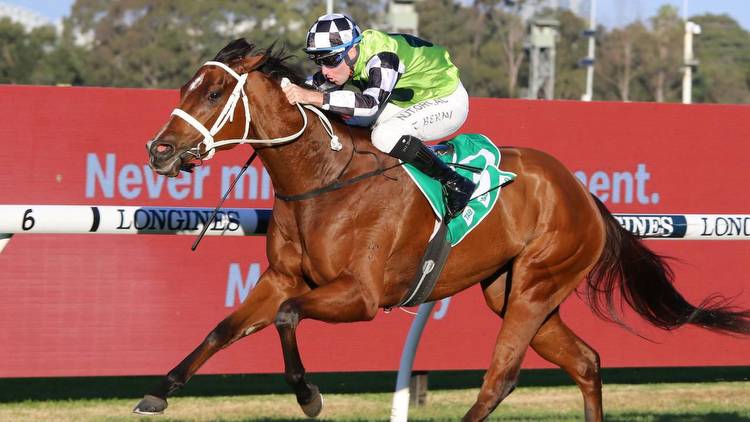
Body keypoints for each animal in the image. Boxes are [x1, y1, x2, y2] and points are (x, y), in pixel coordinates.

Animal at [137, 38, 750, 418]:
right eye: (186, 88)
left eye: (213, 93)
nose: (159, 151)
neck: (323, 180)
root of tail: (583, 194)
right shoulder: (281, 279)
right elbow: (222, 330)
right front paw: (158, 393)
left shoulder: (359, 296)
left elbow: (287, 319)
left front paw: (309, 395)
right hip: (513, 292)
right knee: (586, 363)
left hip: (535, 286)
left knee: (501, 378)